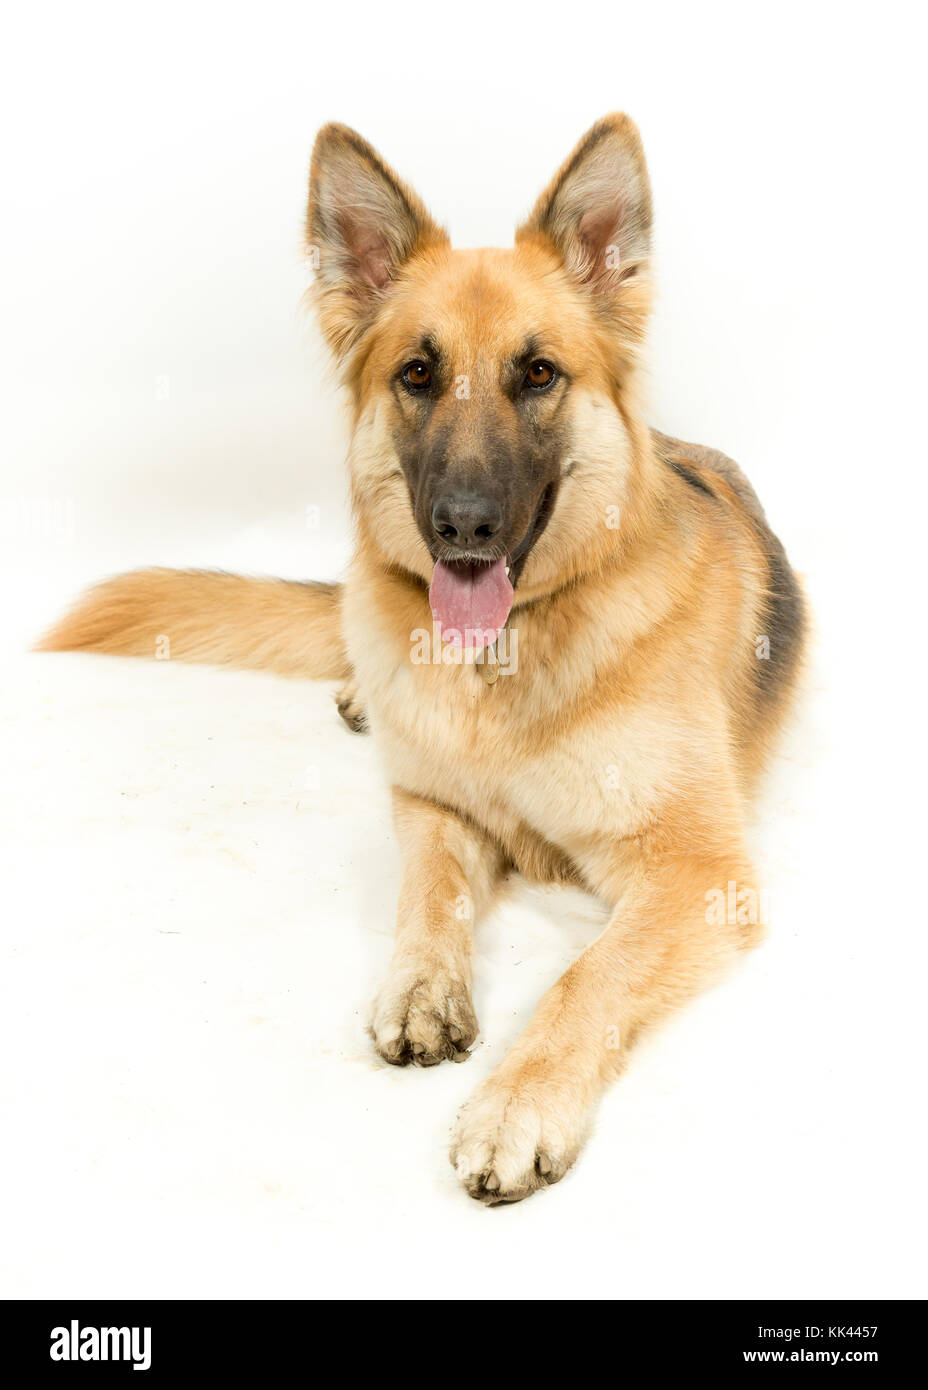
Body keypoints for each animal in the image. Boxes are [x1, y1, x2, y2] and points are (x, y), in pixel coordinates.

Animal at [39, 116, 805, 1206]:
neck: (504, 662)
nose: (464, 528)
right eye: (415, 374)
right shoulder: (430, 804)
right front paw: (420, 985)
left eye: (539, 374)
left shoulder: (697, 871)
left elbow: (589, 974)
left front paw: (518, 1103)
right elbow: (428, 890)